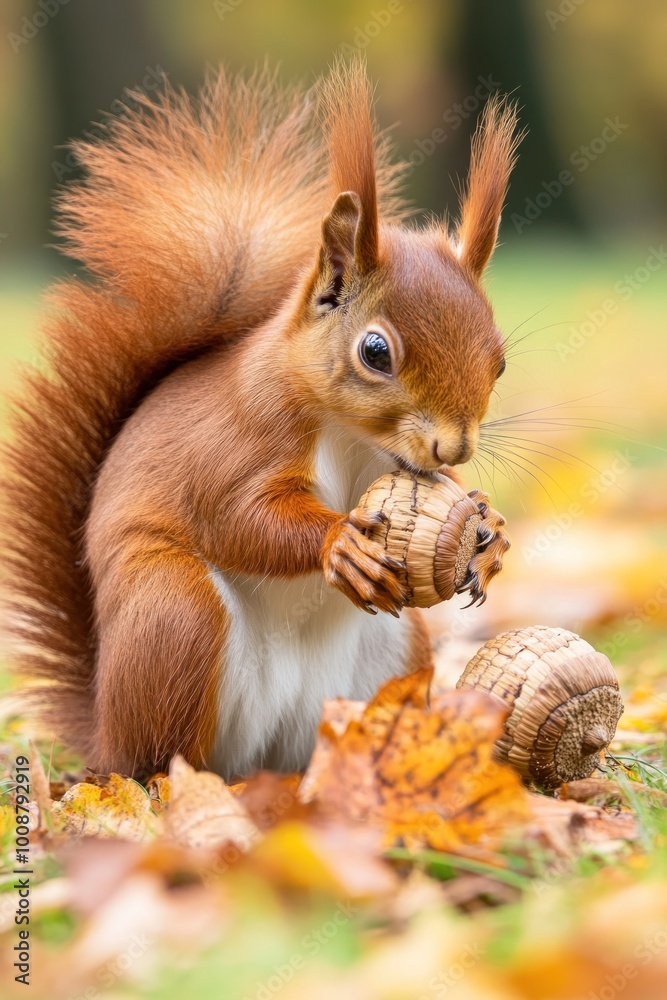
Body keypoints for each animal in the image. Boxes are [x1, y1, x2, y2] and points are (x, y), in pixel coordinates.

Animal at [2, 59, 517, 781]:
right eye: (375, 352)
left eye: (499, 362)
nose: (454, 447)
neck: (352, 436)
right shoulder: (243, 436)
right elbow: (238, 515)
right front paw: (339, 542)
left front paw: (488, 528)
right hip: (174, 614)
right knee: (162, 755)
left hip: (392, 649)